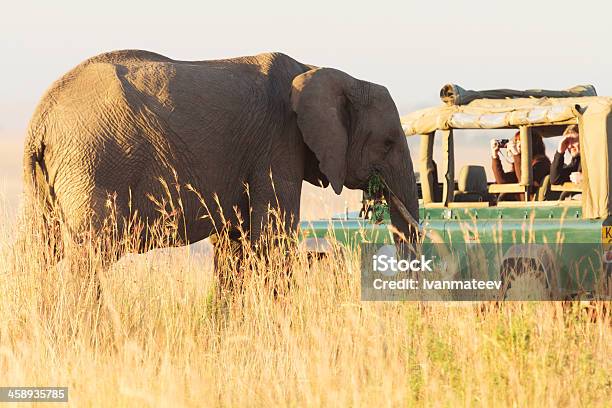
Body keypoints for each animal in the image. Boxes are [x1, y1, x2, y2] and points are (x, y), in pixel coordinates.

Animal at [21, 51, 418, 270]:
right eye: (388, 143)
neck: (317, 69)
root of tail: (41, 117)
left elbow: (234, 245)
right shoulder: (278, 144)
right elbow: (271, 240)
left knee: (41, 252)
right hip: (94, 162)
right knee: (90, 254)